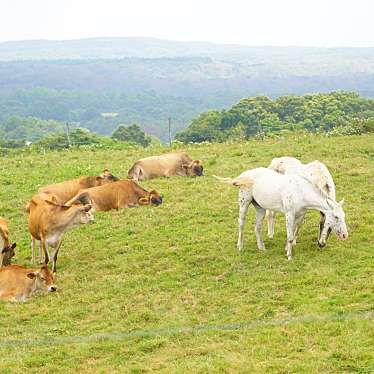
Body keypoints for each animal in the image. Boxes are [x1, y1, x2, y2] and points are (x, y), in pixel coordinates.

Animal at [215, 169, 350, 260]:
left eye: (343, 215)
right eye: (336, 217)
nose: (345, 235)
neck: (300, 191)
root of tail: (243, 175)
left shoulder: (299, 215)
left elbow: (293, 232)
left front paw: (287, 249)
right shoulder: (289, 214)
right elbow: (290, 236)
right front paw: (289, 256)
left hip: (260, 208)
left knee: (257, 227)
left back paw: (262, 248)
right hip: (244, 203)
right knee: (241, 224)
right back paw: (240, 246)